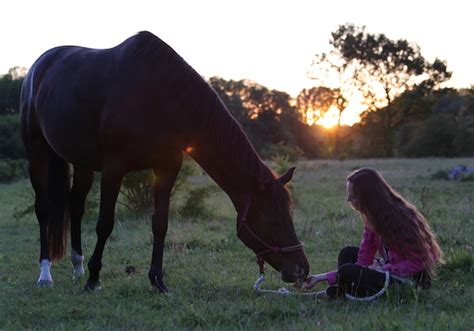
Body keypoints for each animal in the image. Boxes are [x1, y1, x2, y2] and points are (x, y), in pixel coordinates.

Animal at [19, 30, 312, 290]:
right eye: (272, 219)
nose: (302, 270)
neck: (159, 96)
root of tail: (40, 66)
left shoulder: (167, 168)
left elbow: (160, 224)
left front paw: (157, 280)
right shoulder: (114, 168)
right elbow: (105, 224)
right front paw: (94, 279)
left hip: (82, 162)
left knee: (75, 206)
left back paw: (77, 266)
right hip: (38, 152)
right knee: (44, 208)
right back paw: (46, 274)